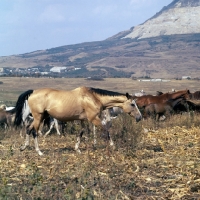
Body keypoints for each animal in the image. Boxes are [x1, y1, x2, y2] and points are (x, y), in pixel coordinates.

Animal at [14, 86, 142, 155]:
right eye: (132, 104)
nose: (139, 117)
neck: (93, 97)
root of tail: (32, 92)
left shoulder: (83, 120)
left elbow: (81, 132)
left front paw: (77, 149)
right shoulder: (94, 119)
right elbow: (106, 130)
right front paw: (112, 145)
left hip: (41, 117)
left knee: (28, 129)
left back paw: (23, 147)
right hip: (38, 117)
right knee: (34, 131)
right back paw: (39, 152)